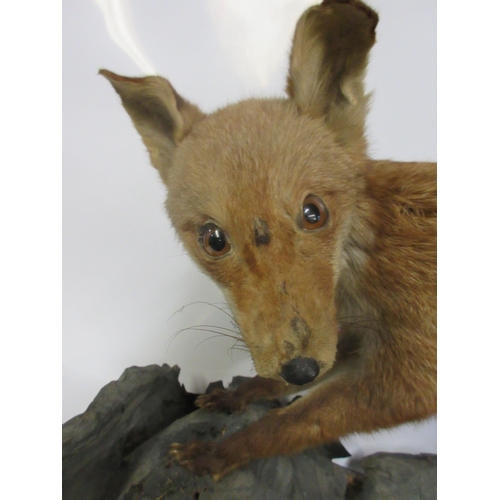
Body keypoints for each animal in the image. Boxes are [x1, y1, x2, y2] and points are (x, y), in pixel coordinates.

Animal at [100, 0, 434, 482]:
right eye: (213, 239)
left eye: (314, 213)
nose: (300, 369)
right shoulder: (345, 336)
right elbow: (281, 385)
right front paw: (237, 396)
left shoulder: (416, 372)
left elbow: (292, 422)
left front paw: (218, 454)